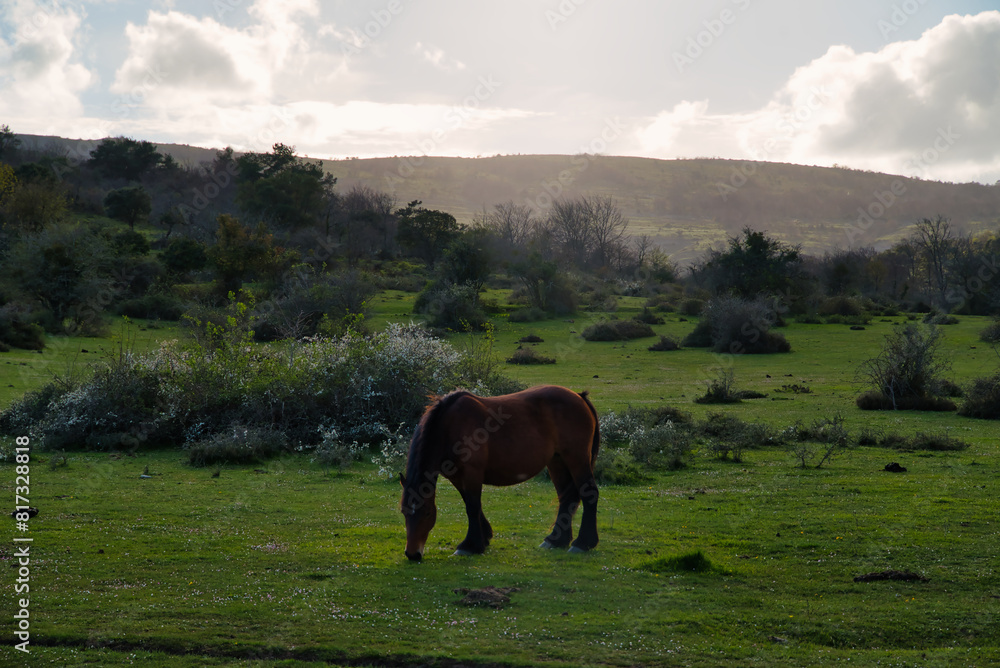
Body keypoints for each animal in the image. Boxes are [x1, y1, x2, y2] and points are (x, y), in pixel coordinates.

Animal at [399, 384, 600, 561]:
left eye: (426, 513)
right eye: (403, 511)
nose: (412, 554)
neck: (451, 427)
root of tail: (579, 397)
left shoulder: (472, 473)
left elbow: (472, 506)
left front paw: (470, 545)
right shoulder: (457, 476)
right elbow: (471, 504)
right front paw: (484, 537)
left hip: (577, 459)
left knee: (589, 494)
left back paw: (583, 543)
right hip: (557, 462)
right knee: (566, 498)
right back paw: (556, 540)